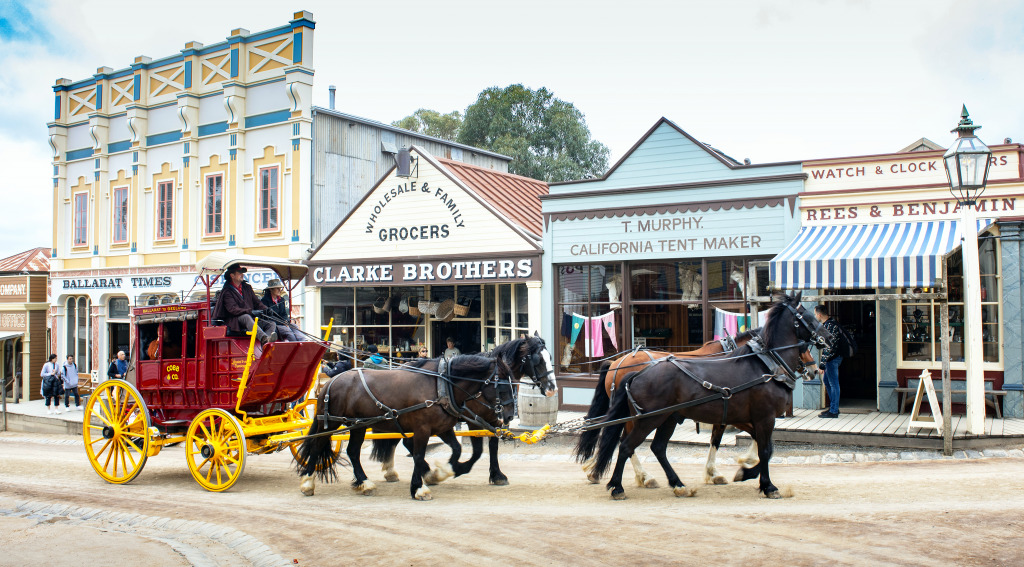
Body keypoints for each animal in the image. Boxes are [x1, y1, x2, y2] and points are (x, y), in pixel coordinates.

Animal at [294, 352, 505, 499]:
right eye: (502, 383)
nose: (507, 415)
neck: (440, 386)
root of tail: (331, 382)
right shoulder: (422, 429)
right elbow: (419, 455)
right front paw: (419, 488)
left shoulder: (442, 427)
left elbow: (457, 449)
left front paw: (442, 472)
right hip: (331, 423)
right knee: (317, 446)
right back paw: (308, 483)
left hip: (358, 425)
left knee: (353, 451)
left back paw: (365, 482)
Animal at [589, 292, 827, 497]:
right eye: (805, 315)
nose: (829, 336)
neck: (766, 365)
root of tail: (633, 371)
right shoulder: (763, 417)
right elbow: (765, 450)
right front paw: (765, 484)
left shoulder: (741, 417)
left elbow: (753, 445)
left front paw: (743, 470)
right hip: (648, 419)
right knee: (626, 445)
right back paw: (620, 485)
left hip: (667, 418)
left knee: (656, 448)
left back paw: (676, 484)